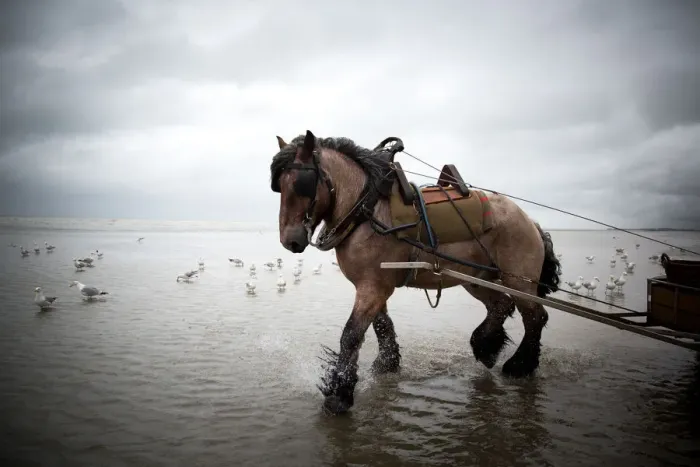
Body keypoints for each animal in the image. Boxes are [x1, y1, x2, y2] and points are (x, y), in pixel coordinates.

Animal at [270, 130, 562, 415]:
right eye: (279, 186)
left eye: (301, 183)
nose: (290, 240)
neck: (367, 211)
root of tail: (530, 221)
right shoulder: (373, 285)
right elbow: (381, 325)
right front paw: (386, 364)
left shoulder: (373, 287)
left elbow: (351, 335)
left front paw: (339, 394)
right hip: (477, 278)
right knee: (501, 305)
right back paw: (486, 347)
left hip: (518, 279)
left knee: (534, 316)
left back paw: (519, 365)